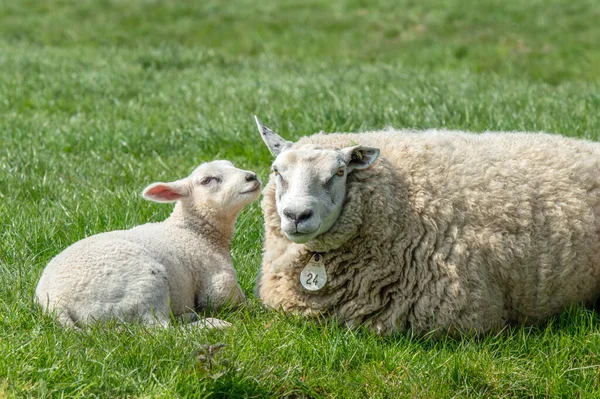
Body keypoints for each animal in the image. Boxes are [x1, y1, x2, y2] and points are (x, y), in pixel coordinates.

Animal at [35, 161, 260, 330]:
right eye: (207, 180)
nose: (252, 177)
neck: (194, 233)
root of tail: (55, 302)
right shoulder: (218, 283)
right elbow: (231, 301)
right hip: (143, 286)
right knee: (161, 330)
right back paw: (212, 324)